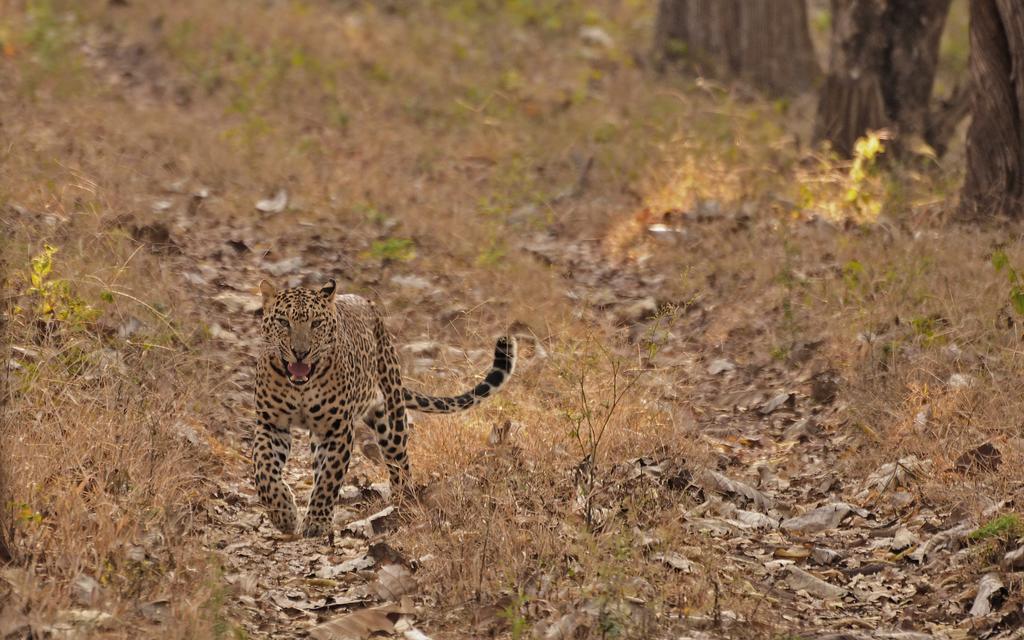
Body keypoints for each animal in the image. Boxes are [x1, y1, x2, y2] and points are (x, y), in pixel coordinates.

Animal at [251, 276, 516, 536]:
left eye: (316, 323)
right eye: (283, 322)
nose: (300, 352)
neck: (300, 386)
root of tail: (368, 304)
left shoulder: (337, 429)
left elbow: (329, 477)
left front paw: (317, 522)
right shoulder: (270, 424)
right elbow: (264, 469)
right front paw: (283, 514)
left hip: (391, 416)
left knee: (399, 462)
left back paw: (401, 502)